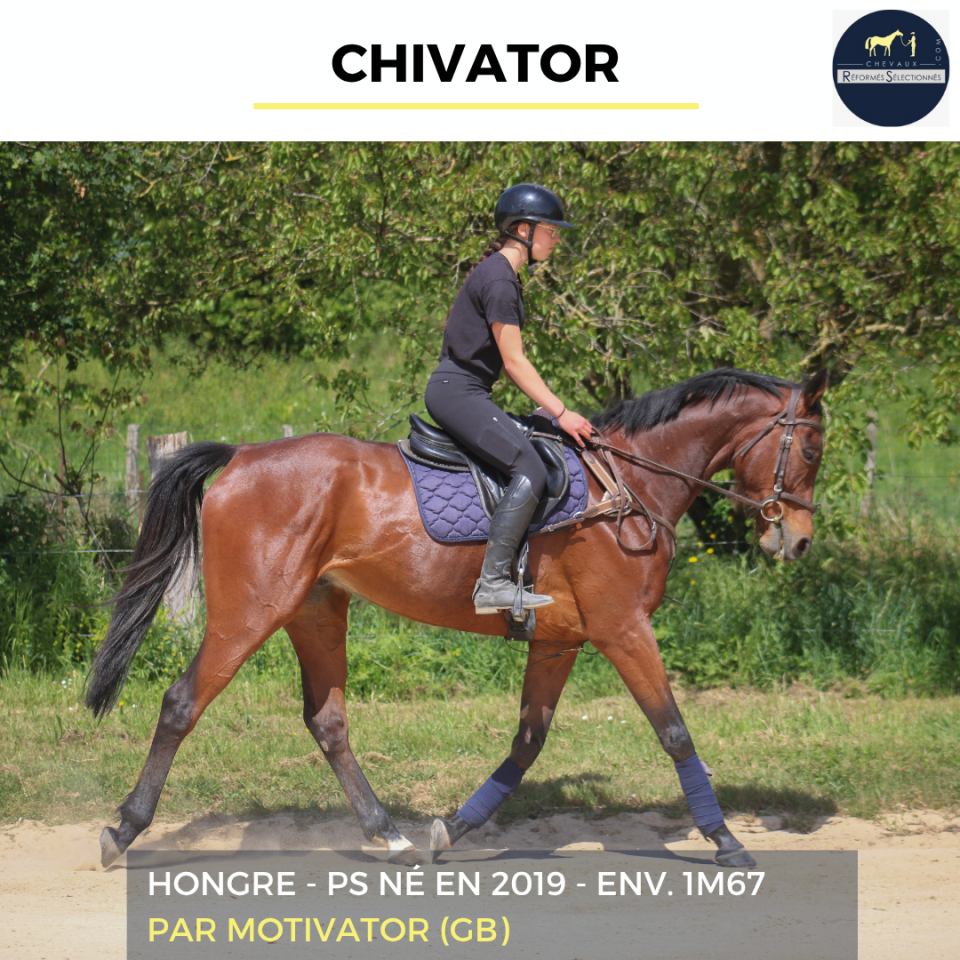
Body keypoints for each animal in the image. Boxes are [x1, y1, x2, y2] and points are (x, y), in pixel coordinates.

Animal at [85, 368, 828, 870]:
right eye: (813, 451)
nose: (796, 542)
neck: (632, 484)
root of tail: (240, 456)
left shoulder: (559, 642)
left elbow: (527, 743)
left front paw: (454, 830)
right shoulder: (622, 630)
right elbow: (673, 731)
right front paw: (726, 840)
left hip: (316, 610)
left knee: (327, 721)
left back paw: (388, 834)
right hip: (250, 613)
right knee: (182, 703)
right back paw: (123, 830)